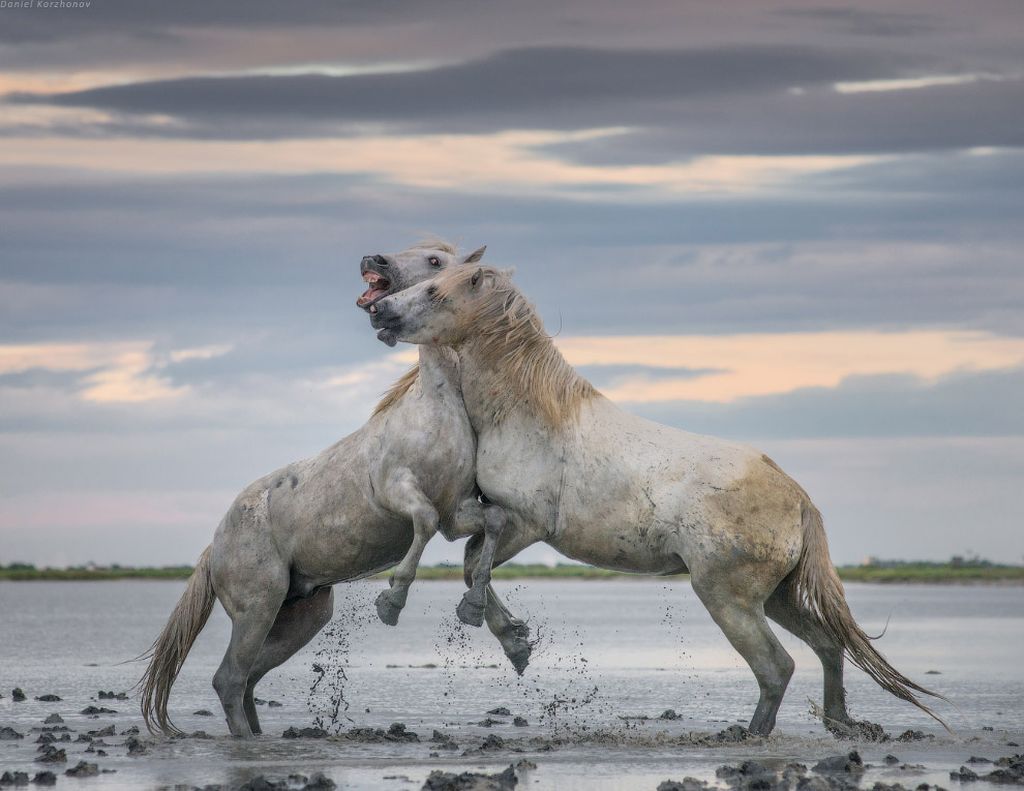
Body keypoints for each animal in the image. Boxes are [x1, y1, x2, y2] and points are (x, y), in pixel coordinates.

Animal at [140, 243, 532, 737]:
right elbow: (421, 524)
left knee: (246, 678)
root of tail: (215, 546)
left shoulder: (456, 513)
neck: (436, 412)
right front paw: (392, 602)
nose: (375, 260)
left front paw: (480, 613)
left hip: (300, 617)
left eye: (436, 263)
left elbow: (492, 521)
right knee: (228, 679)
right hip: (257, 608)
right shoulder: (398, 492)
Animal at [366, 264, 942, 733]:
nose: (379, 311)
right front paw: (516, 642)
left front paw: (501, 634)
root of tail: (798, 499)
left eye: (435, 290)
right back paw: (841, 724)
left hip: (727, 597)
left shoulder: (526, 523)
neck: (532, 414)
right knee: (827, 645)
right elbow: (471, 562)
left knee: (777, 665)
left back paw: (749, 735)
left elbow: (472, 564)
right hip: (775, 596)